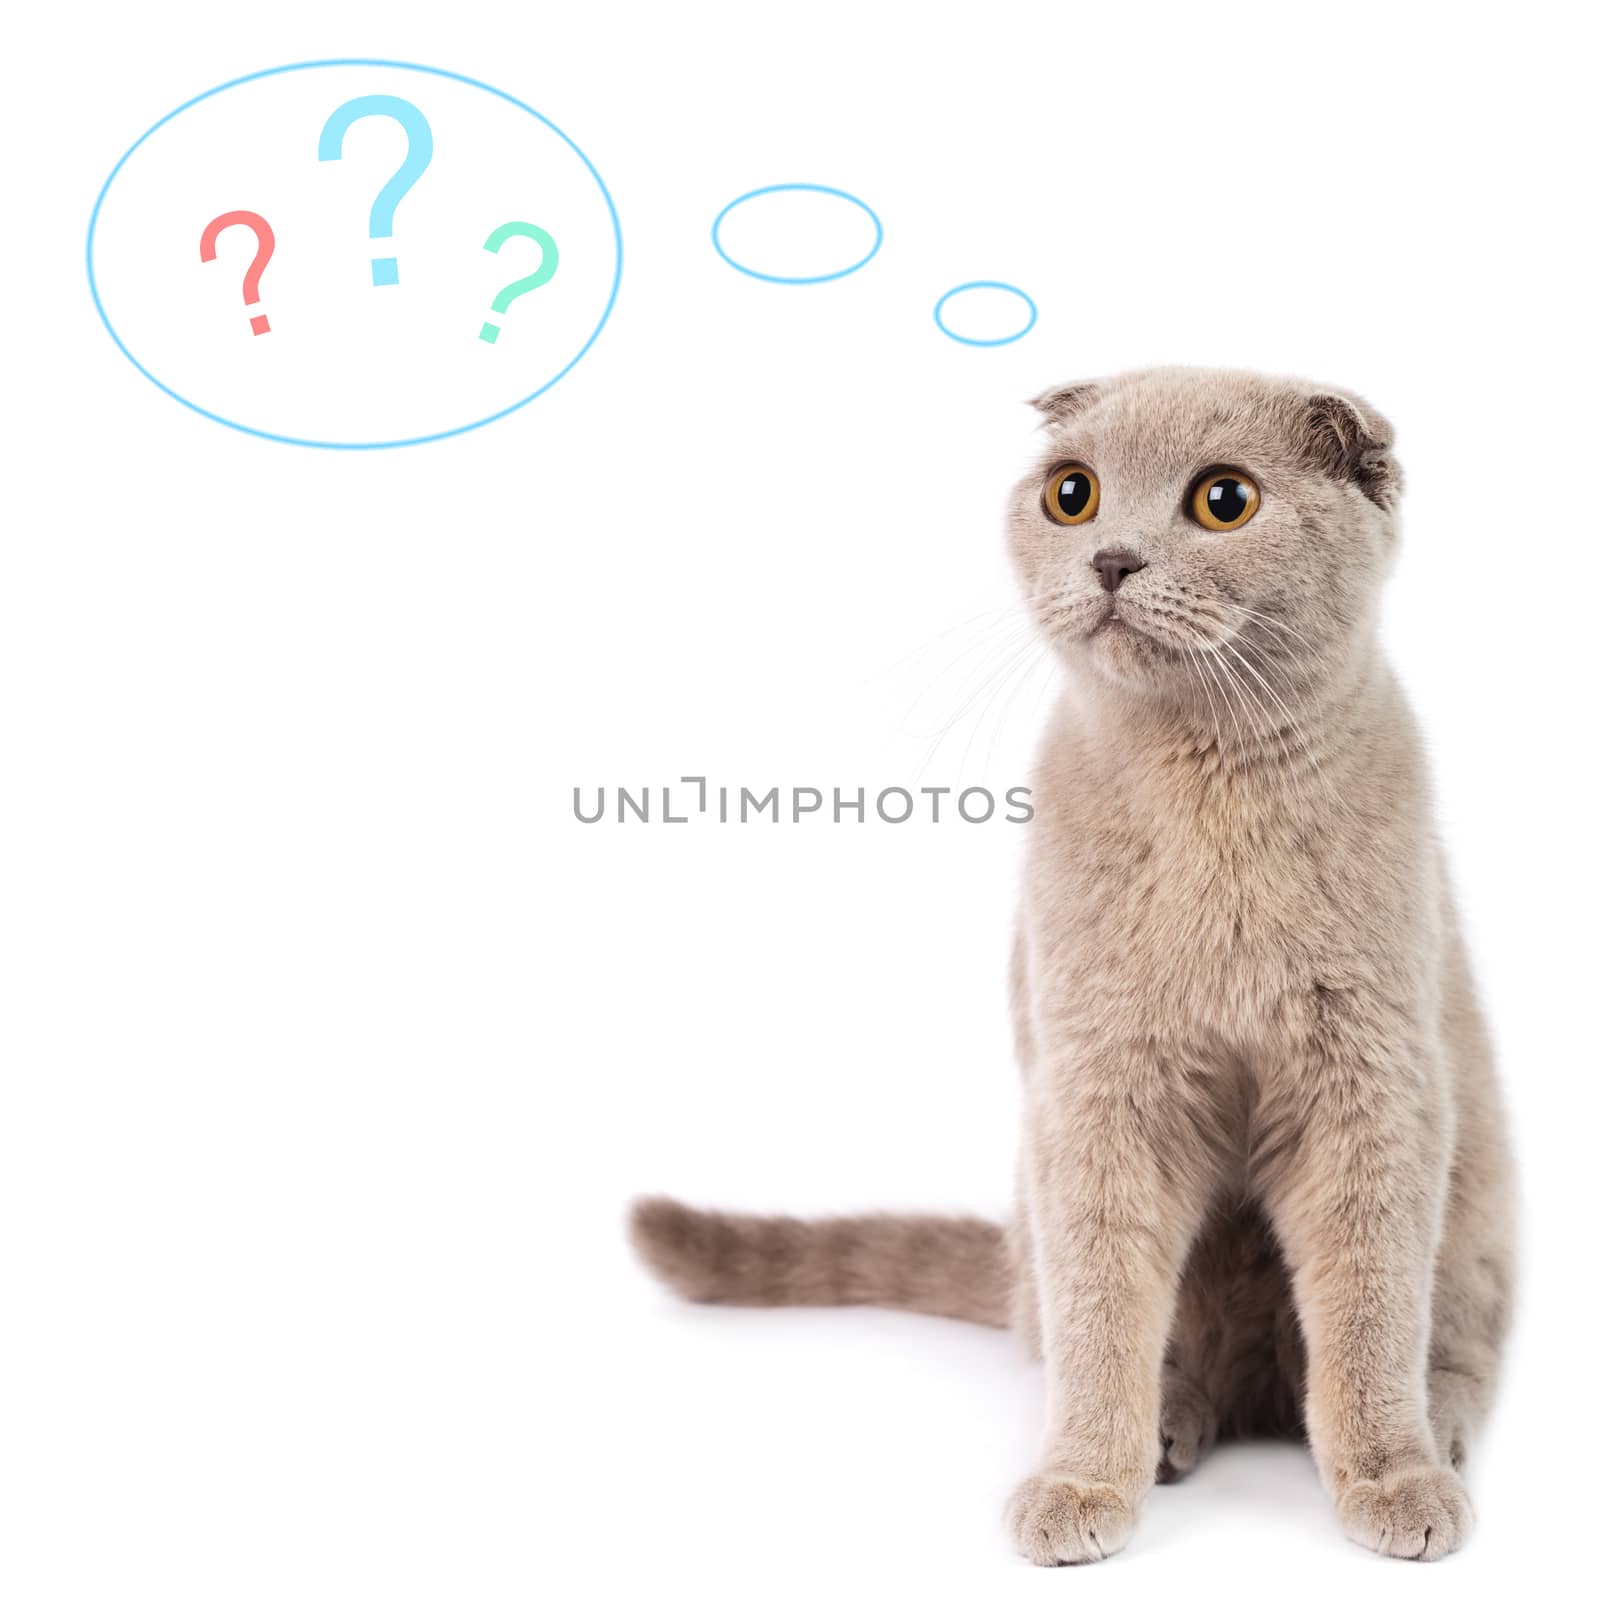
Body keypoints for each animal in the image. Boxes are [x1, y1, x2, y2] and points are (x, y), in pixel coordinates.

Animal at [627, 366, 1510, 1561]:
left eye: (1224, 500)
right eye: (1072, 494)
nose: (1111, 559)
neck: (1205, 792)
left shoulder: (1368, 1081)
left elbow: (1368, 1309)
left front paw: (1392, 1478)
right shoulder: (1097, 1089)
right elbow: (1103, 1309)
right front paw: (1084, 1482)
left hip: (1476, 1201)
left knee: (1444, 1341)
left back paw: (1437, 1435)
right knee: (1102, 1336)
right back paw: (1169, 1431)